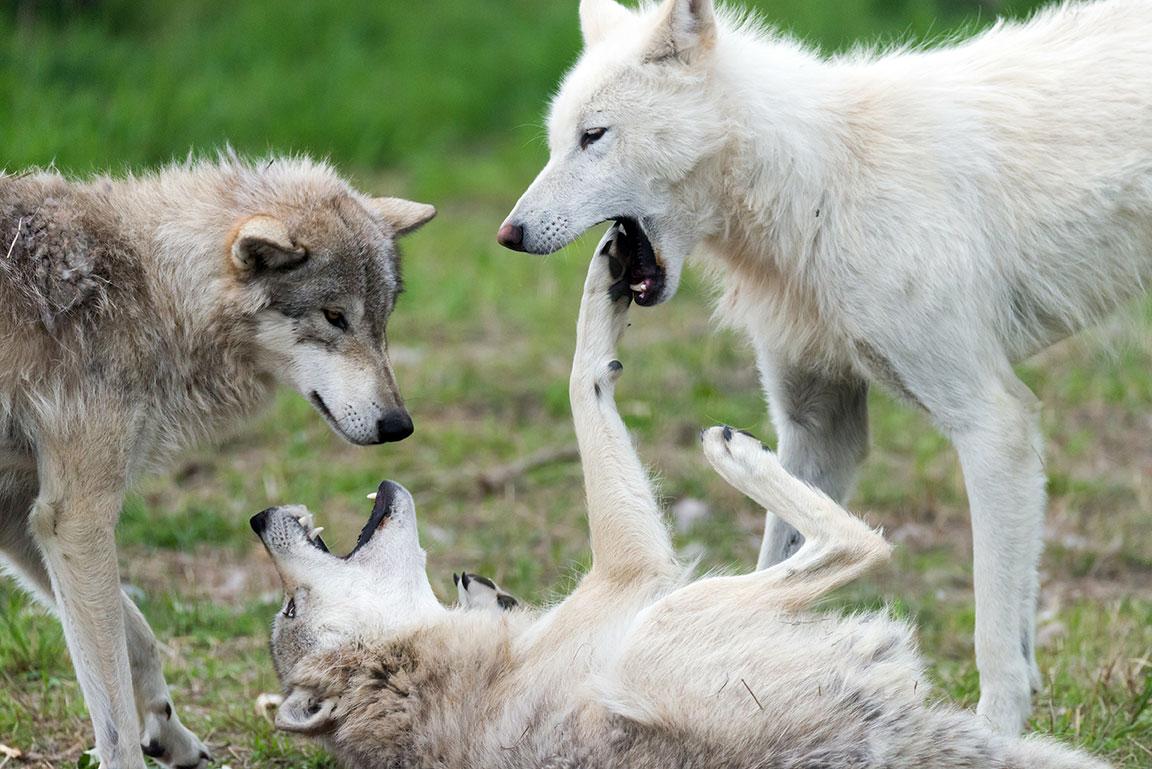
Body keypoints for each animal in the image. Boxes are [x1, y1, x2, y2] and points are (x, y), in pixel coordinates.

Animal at [0, 157, 435, 768]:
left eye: (382, 320)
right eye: (334, 317)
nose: (399, 426)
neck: (148, 288)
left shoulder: (23, 516)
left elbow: (137, 636)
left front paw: (168, 732)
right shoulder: (73, 519)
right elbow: (111, 711)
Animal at [249, 238, 1105, 768]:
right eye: (289, 612)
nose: (259, 518)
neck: (429, 667)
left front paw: (484, 590)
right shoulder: (636, 570)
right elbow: (582, 380)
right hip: (667, 621)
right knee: (859, 542)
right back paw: (736, 451)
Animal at [497, 0, 1152, 732]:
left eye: (594, 136)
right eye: (557, 142)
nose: (508, 235)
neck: (818, 180)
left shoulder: (993, 424)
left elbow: (996, 646)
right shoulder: (819, 434)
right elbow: (781, 552)